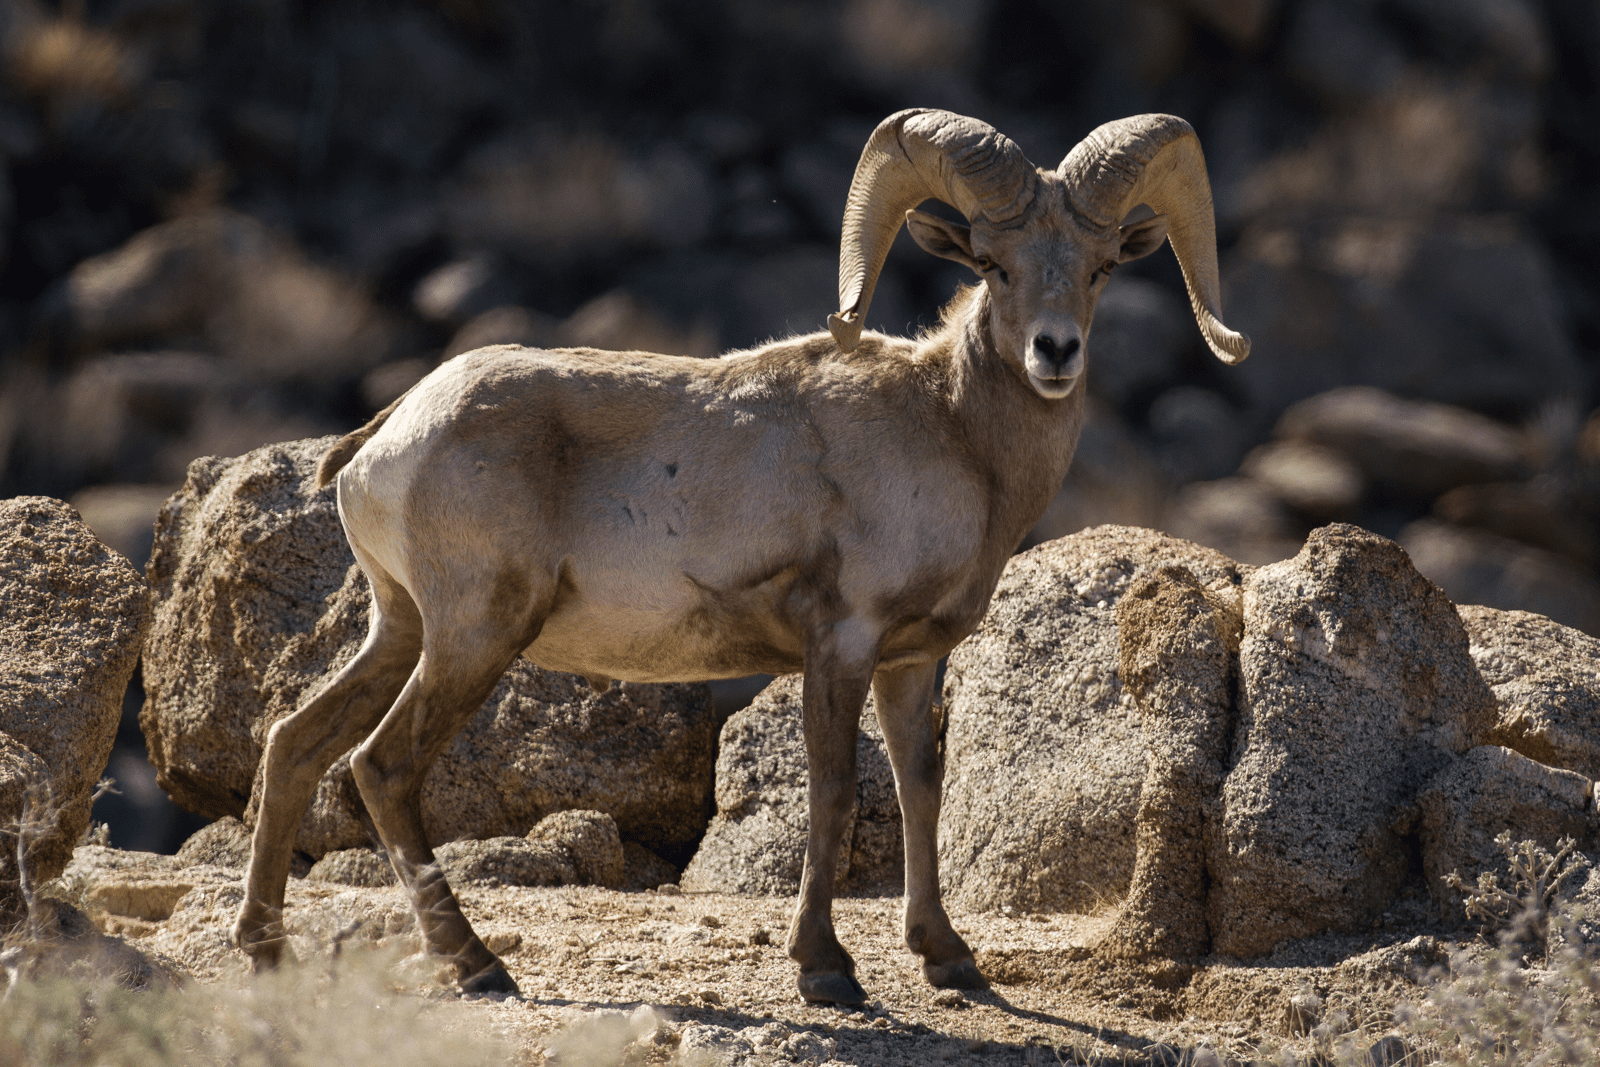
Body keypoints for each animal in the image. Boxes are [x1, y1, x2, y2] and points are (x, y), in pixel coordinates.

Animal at [231, 108, 1248, 1006]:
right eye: (995, 267)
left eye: (1100, 269)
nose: (1055, 352)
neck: (953, 432)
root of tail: (384, 441)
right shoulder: (841, 644)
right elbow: (834, 794)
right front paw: (827, 971)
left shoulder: (912, 660)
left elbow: (921, 789)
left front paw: (949, 959)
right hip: (474, 637)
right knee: (382, 766)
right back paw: (477, 966)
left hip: (400, 628)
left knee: (294, 743)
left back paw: (267, 953)